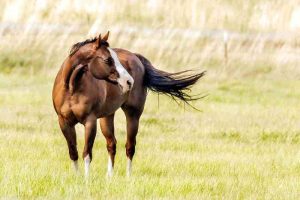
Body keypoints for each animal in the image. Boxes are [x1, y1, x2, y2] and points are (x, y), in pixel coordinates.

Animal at [52, 31, 205, 177]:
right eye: (108, 60)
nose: (128, 82)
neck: (72, 88)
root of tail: (136, 58)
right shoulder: (64, 122)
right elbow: (73, 151)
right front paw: (78, 177)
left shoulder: (90, 122)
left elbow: (87, 153)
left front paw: (86, 179)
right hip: (107, 116)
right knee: (112, 144)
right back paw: (109, 176)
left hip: (133, 115)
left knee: (130, 146)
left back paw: (128, 176)